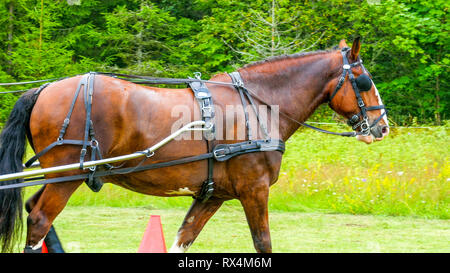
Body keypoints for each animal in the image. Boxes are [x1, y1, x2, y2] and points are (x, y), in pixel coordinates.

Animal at [0, 37, 386, 252]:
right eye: (364, 81)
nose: (381, 126)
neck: (258, 105)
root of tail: (43, 89)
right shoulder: (254, 189)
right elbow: (263, 242)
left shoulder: (211, 195)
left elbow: (184, 238)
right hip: (66, 176)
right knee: (39, 220)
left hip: (63, 175)